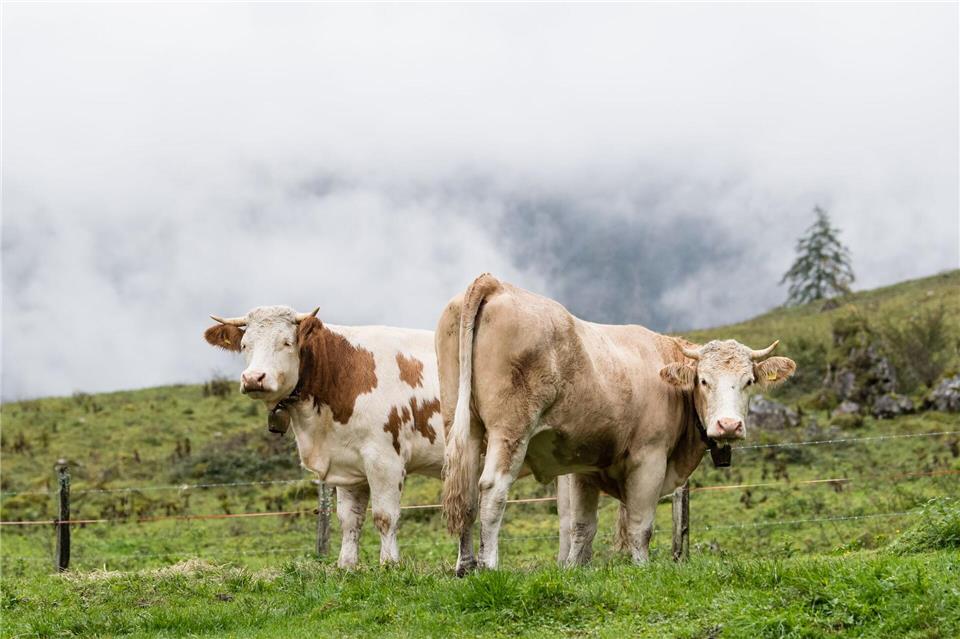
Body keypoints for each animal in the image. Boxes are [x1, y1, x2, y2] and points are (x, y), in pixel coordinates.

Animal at [204, 305, 444, 567]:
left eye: (287, 342)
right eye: (245, 344)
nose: (253, 378)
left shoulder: (385, 460)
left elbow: (385, 517)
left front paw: (390, 564)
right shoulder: (348, 465)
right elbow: (349, 520)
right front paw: (346, 565)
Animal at [437, 274, 796, 572]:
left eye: (749, 381)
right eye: (704, 381)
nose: (728, 425)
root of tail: (495, 283)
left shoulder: (583, 466)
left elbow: (582, 526)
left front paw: (575, 571)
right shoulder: (649, 458)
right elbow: (640, 525)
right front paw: (642, 568)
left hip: (463, 425)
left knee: (466, 492)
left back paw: (465, 566)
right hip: (510, 429)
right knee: (492, 489)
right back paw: (489, 566)